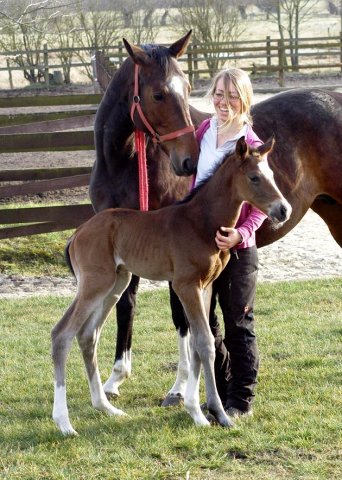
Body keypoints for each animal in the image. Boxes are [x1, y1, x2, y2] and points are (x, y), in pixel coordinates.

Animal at [51, 135, 292, 436]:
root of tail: (77, 233)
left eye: (271, 174)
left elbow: (201, 343)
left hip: (117, 283)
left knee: (87, 335)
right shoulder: (185, 285)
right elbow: (204, 342)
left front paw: (198, 410)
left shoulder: (205, 287)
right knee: (62, 334)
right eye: (254, 177)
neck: (202, 222)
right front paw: (216, 413)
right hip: (96, 283)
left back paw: (106, 407)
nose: (283, 210)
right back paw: (64, 423)